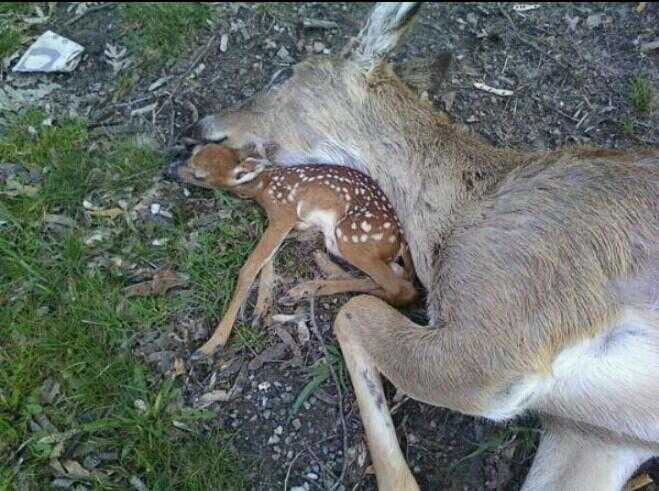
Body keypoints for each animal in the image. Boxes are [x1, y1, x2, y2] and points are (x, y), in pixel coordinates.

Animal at [187, 3, 659, 491]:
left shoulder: (504, 330)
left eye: (284, 73)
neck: (451, 217)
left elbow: (351, 313)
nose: (199, 124)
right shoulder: (597, 433)